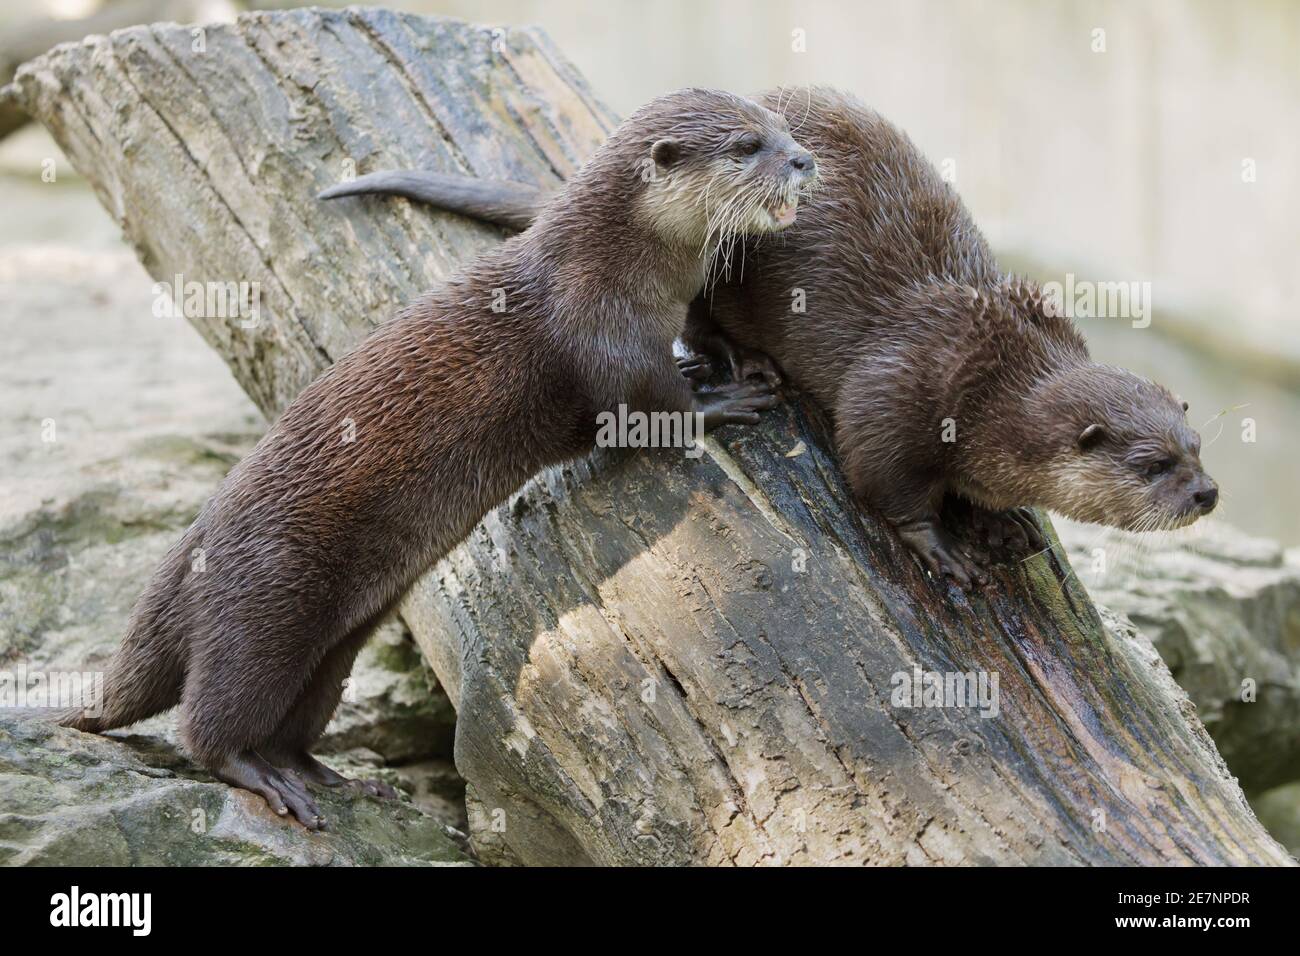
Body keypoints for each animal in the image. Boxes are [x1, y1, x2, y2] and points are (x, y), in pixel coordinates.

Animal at [61, 87, 816, 832]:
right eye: (747, 145)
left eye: (782, 125)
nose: (805, 160)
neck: (624, 267)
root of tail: (189, 550)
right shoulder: (600, 330)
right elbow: (646, 412)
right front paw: (727, 398)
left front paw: (731, 357)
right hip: (260, 606)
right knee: (211, 719)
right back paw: (265, 779)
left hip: (336, 640)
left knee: (298, 716)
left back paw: (336, 777)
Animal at [322, 85, 1216, 590]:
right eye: (1152, 464)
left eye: (1198, 444)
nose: (1206, 493)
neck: (995, 379)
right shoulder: (903, 389)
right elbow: (881, 478)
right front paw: (944, 543)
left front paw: (1003, 520)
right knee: (693, 324)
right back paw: (740, 365)